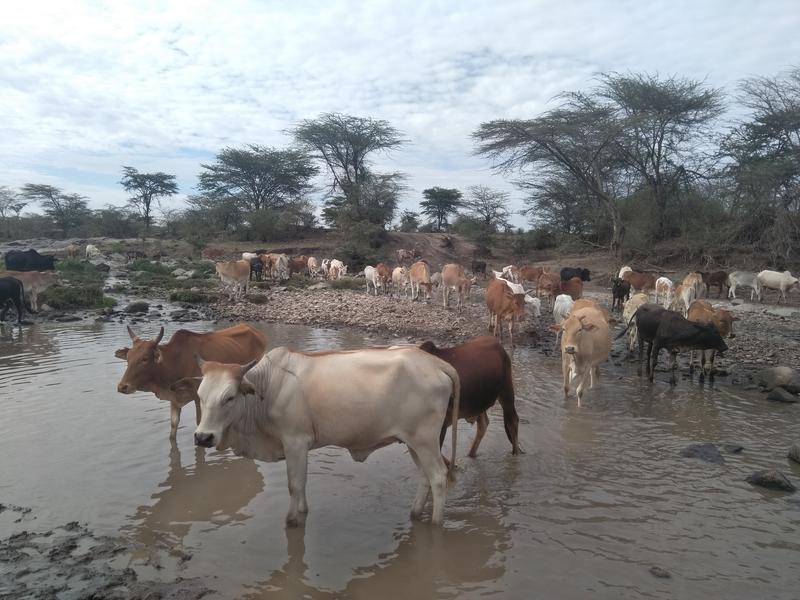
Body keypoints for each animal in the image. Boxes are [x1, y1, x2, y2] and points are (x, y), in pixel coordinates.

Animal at [114, 326, 268, 438]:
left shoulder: (198, 397)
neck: (175, 361)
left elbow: (199, 422)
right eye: (128, 357)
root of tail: (255, 331)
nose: (122, 387)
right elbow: (173, 426)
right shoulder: (174, 399)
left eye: (144, 358)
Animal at [177, 346, 462, 524]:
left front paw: (292, 520)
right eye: (200, 395)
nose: (203, 437)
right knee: (425, 477)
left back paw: (435, 524)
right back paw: (415, 514)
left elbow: (294, 485)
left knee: (438, 477)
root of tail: (434, 362)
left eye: (229, 397)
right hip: (413, 441)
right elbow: (301, 485)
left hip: (424, 440)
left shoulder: (295, 442)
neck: (268, 390)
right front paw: (303, 511)